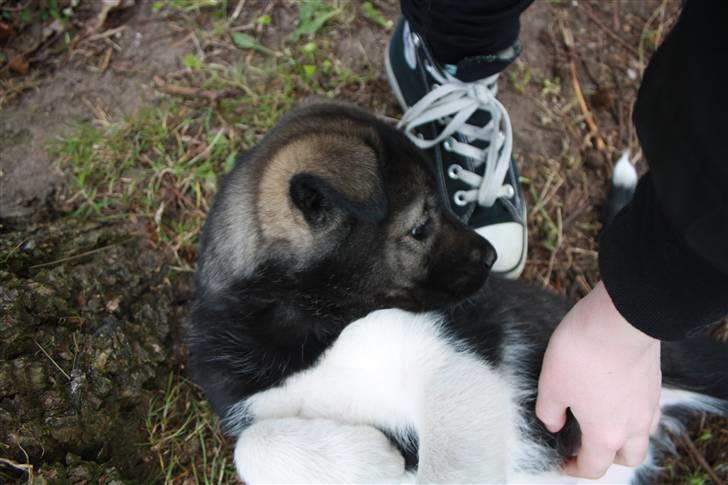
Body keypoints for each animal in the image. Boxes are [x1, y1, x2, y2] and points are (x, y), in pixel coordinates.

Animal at [189, 101, 728, 480]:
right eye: (420, 226)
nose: (491, 259)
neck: (312, 323)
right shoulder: (251, 403)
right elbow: (254, 446)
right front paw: (378, 460)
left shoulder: (452, 365)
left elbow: (446, 469)